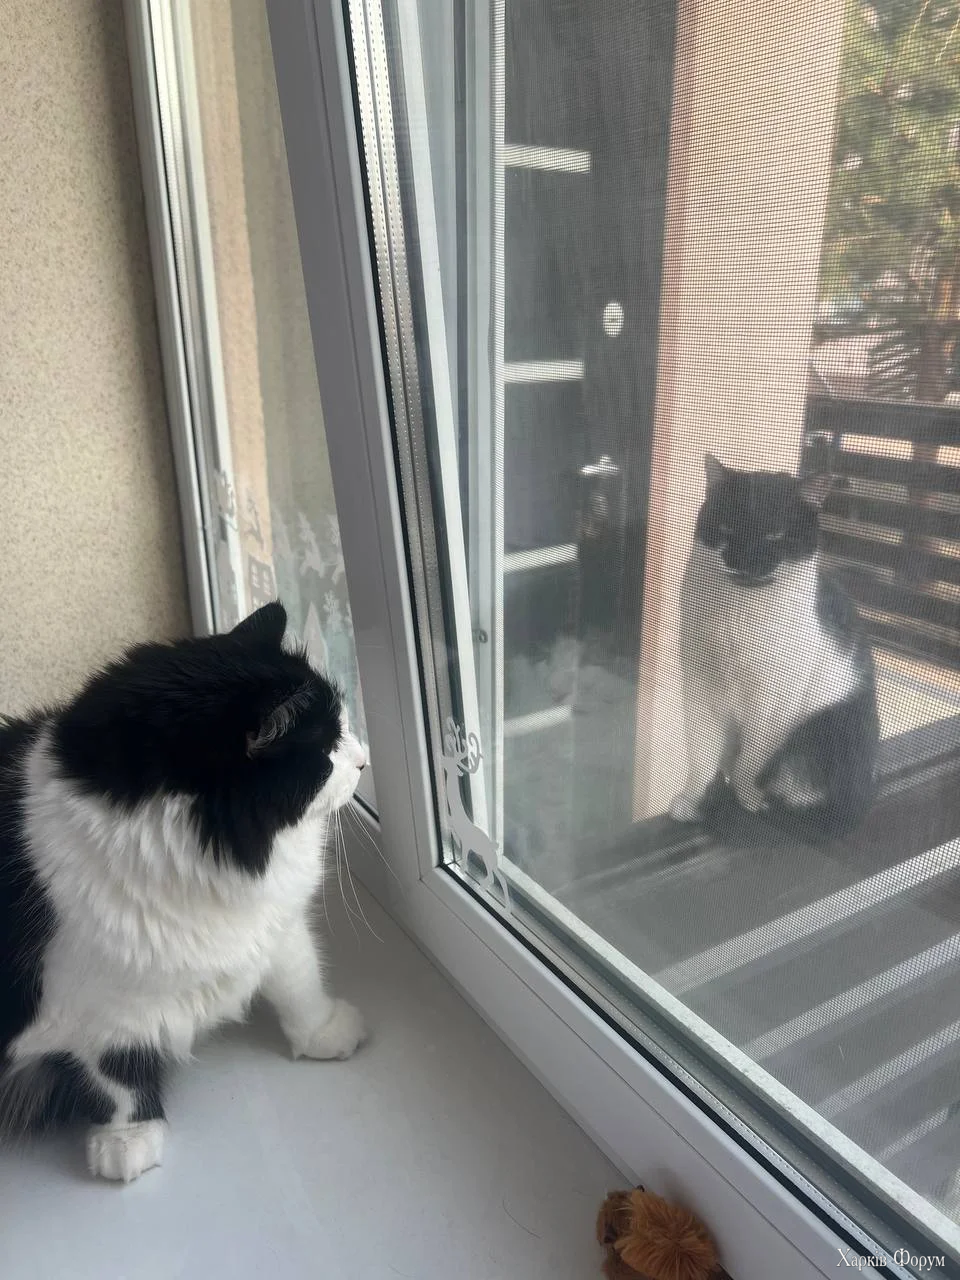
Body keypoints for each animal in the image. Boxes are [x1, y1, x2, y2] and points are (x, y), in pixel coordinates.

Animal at [0, 601, 367, 1182]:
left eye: (345, 728)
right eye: (328, 748)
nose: (364, 759)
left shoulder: (275, 928)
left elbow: (300, 984)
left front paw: (324, 1032)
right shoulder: (97, 1010)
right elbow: (116, 1078)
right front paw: (127, 1140)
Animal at [669, 454, 879, 839]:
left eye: (775, 536)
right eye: (726, 529)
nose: (743, 561)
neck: (737, 614)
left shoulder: (777, 697)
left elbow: (754, 756)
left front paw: (748, 796)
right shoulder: (699, 684)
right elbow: (702, 752)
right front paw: (691, 799)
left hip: (828, 725)